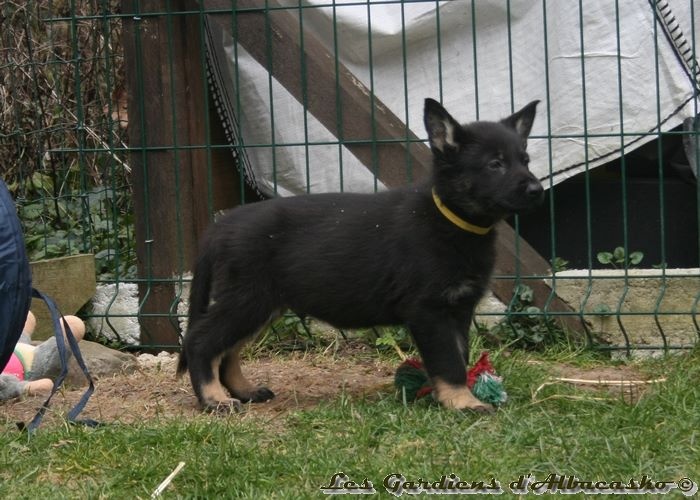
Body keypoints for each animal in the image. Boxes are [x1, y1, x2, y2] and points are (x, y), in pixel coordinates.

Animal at [178, 98, 544, 414]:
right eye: (495, 164)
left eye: (525, 160)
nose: (537, 191)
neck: (451, 219)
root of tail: (222, 225)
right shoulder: (430, 311)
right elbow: (449, 362)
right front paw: (464, 402)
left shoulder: (458, 309)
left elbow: (459, 356)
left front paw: (453, 396)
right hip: (249, 298)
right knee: (201, 341)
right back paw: (214, 400)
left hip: (263, 304)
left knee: (227, 349)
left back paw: (243, 391)